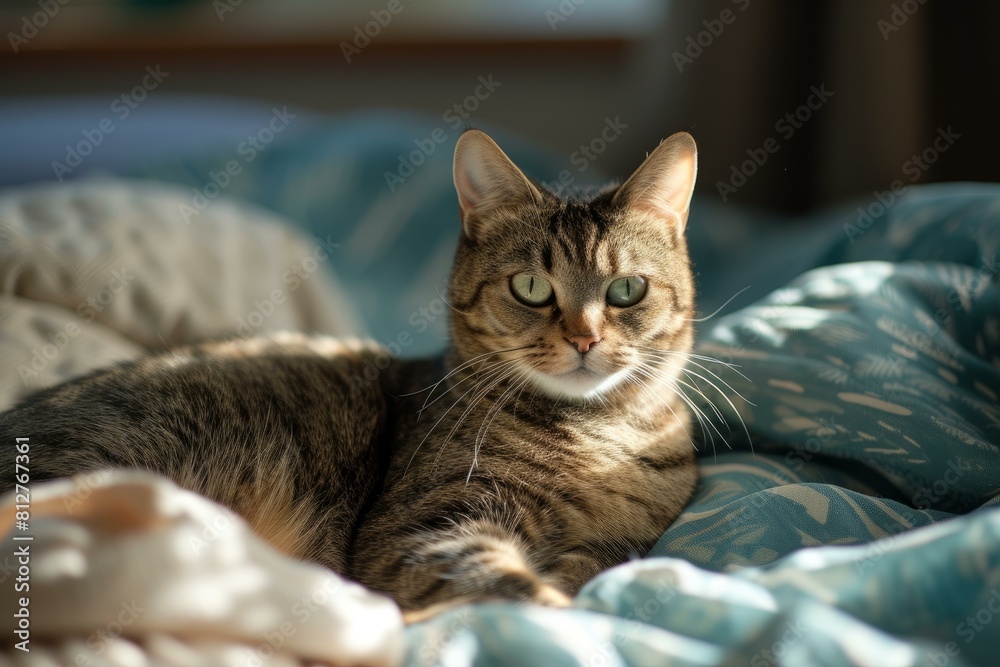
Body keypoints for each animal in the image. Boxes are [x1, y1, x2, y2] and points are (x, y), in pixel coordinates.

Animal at [0, 128, 700, 612]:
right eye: (531, 287)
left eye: (627, 290)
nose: (584, 338)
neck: (594, 437)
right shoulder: (421, 531)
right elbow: (517, 588)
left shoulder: (617, 543)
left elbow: (593, 566)